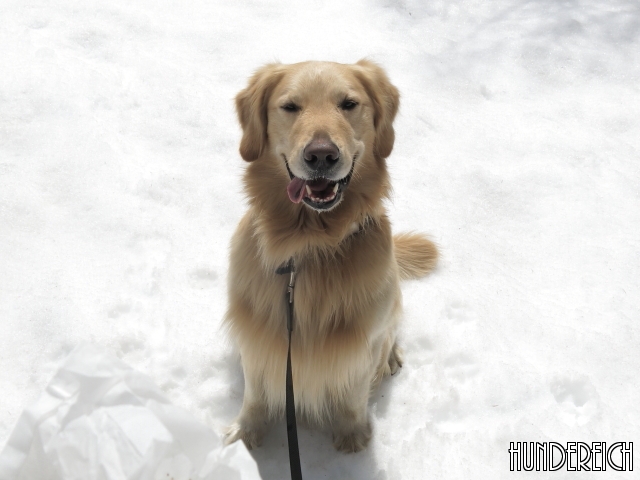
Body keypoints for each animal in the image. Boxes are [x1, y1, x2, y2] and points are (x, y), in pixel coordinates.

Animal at [222, 61, 438, 454]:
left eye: (348, 104)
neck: (308, 245)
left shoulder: (360, 346)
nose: (321, 155)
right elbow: (255, 393)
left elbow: (353, 396)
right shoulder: (259, 337)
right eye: (290, 106)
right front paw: (246, 435)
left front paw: (352, 439)